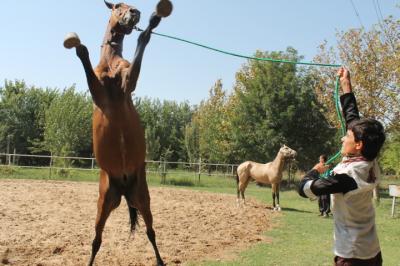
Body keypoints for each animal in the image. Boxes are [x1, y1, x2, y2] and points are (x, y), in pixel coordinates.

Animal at [68, 1, 170, 264]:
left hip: (143, 199)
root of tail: (123, 188)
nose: (135, 13)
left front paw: (153, 21)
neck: (111, 63)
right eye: (117, 6)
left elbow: (144, 39)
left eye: (131, 6)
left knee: (151, 232)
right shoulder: (98, 91)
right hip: (103, 204)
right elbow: (83, 55)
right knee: (96, 240)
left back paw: (160, 260)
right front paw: (77, 45)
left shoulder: (128, 82)